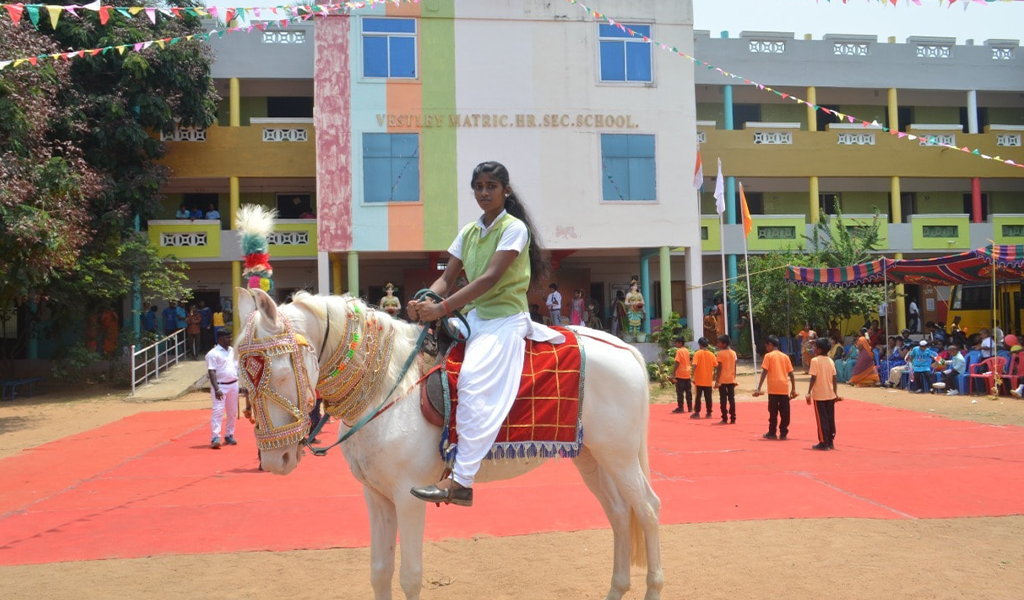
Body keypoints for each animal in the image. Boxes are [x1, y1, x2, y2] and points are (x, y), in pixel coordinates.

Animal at [233, 286, 663, 593]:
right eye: (242, 378)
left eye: (277, 370)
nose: (274, 461)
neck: (389, 385)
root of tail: (626, 348)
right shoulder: (376, 496)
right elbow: (379, 571)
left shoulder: (409, 496)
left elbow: (409, 575)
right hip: (592, 456)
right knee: (620, 514)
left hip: (621, 457)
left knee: (647, 509)